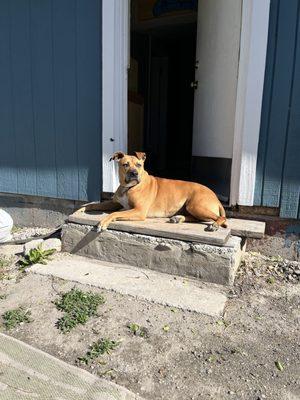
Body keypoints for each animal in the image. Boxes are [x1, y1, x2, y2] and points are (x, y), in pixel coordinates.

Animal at [76, 152, 226, 233]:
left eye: (139, 165)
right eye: (125, 164)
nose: (134, 173)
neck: (128, 187)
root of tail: (216, 198)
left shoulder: (139, 211)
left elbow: (114, 213)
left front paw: (103, 222)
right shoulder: (115, 203)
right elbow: (94, 205)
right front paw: (81, 209)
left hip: (195, 205)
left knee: (221, 218)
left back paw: (214, 225)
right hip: (191, 208)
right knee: (198, 218)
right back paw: (178, 218)